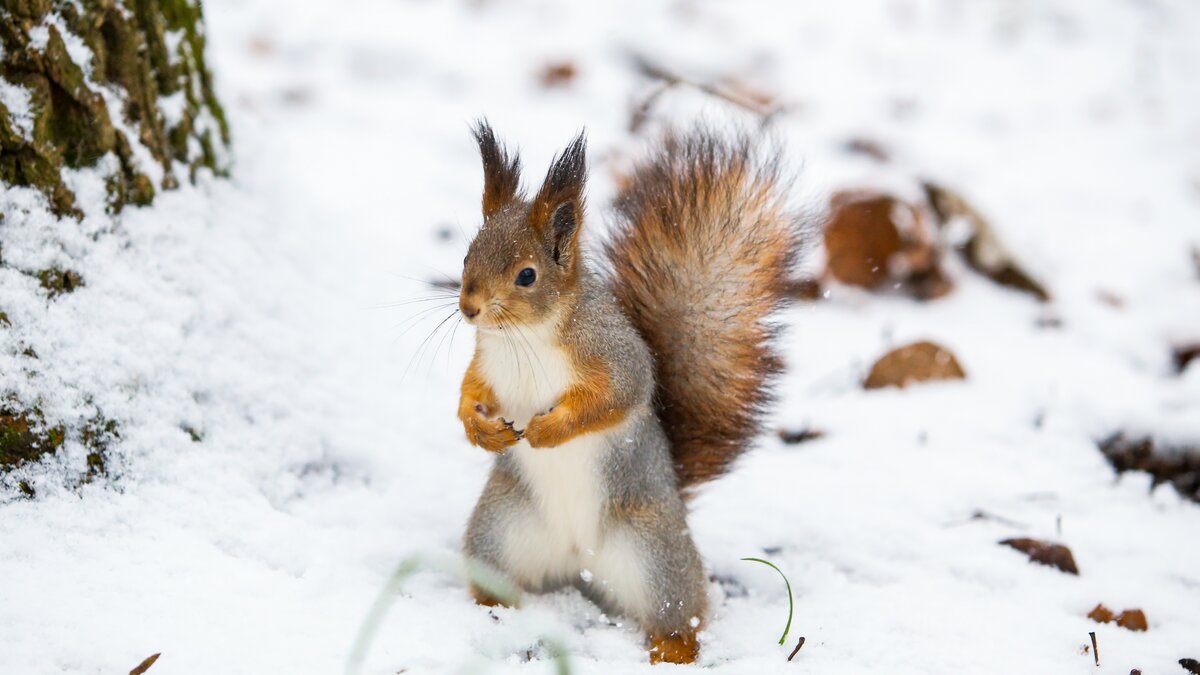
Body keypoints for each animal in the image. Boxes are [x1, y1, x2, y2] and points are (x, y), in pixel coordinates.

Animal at [453, 120, 801, 662]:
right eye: (468, 253)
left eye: (527, 275)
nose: (468, 308)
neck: (523, 337)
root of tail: (578, 562)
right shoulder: (487, 363)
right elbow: (469, 392)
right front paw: (479, 428)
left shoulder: (617, 359)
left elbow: (615, 399)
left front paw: (551, 430)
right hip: (499, 532)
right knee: (497, 580)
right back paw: (492, 610)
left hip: (654, 554)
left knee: (680, 615)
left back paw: (671, 650)